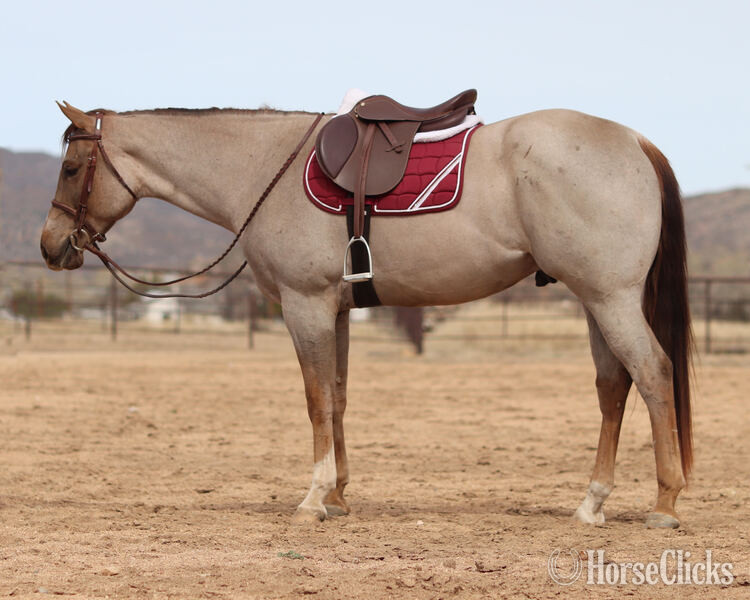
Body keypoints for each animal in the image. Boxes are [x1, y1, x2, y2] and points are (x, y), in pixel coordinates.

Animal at [40, 101, 693, 529]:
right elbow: (337, 396)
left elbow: (314, 400)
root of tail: (635, 141)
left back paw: (664, 503)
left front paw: (313, 499)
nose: (50, 247)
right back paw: (592, 503)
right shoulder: (336, 309)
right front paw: (338, 497)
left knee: (653, 374)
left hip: (610, 298)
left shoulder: (304, 305)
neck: (265, 167)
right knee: (613, 387)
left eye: (71, 169)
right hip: (595, 301)